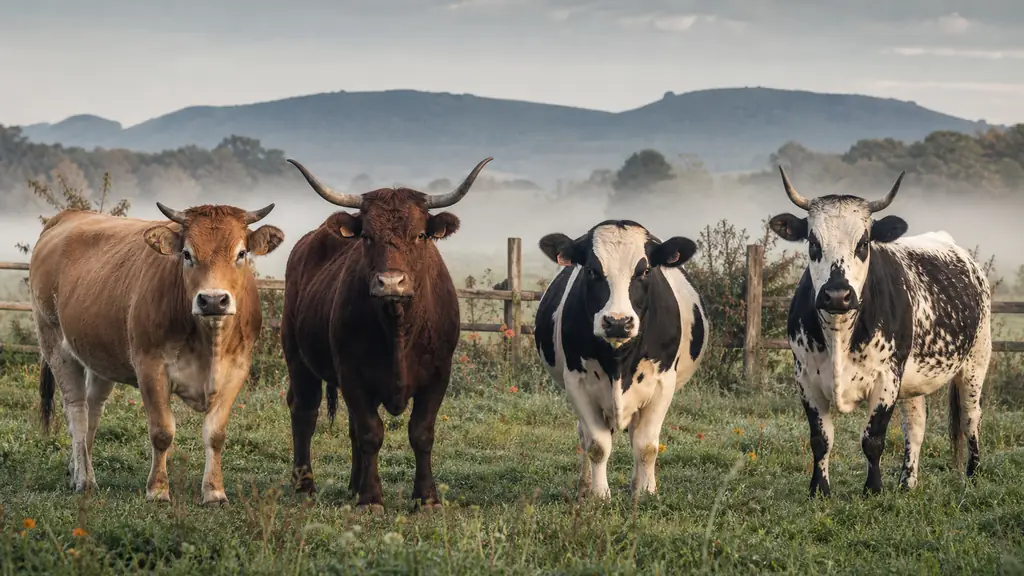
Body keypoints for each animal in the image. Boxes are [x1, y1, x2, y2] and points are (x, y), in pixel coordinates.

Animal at [31, 204, 284, 504]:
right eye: (187, 253)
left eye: (241, 253)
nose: (213, 300)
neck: (209, 343)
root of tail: (68, 215)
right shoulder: (150, 368)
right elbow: (162, 431)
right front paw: (158, 490)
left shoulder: (237, 370)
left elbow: (216, 434)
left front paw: (214, 491)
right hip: (55, 343)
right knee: (77, 413)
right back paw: (85, 479)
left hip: (99, 356)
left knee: (93, 410)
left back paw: (76, 469)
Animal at [281, 156, 492, 511]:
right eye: (367, 236)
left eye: (420, 235)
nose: (391, 282)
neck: (398, 328)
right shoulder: (352, 374)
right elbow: (371, 432)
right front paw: (370, 499)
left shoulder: (439, 375)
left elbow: (421, 432)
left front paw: (426, 498)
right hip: (297, 357)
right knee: (304, 413)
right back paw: (304, 485)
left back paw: (352, 484)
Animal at [533, 220, 709, 499]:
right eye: (592, 270)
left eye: (645, 270)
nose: (618, 322)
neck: (618, 362)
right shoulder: (576, 383)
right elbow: (597, 444)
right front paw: (599, 494)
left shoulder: (663, 384)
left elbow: (646, 445)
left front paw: (646, 491)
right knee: (584, 435)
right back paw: (584, 485)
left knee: (636, 435)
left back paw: (637, 483)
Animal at [767, 168, 992, 497]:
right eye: (812, 242)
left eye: (863, 243)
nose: (837, 295)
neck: (839, 333)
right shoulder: (805, 378)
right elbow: (821, 440)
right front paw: (819, 489)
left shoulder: (887, 378)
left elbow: (872, 439)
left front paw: (873, 489)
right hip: (914, 379)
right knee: (916, 424)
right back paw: (907, 482)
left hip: (976, 361)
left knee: (970, 418)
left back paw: (974, 476)